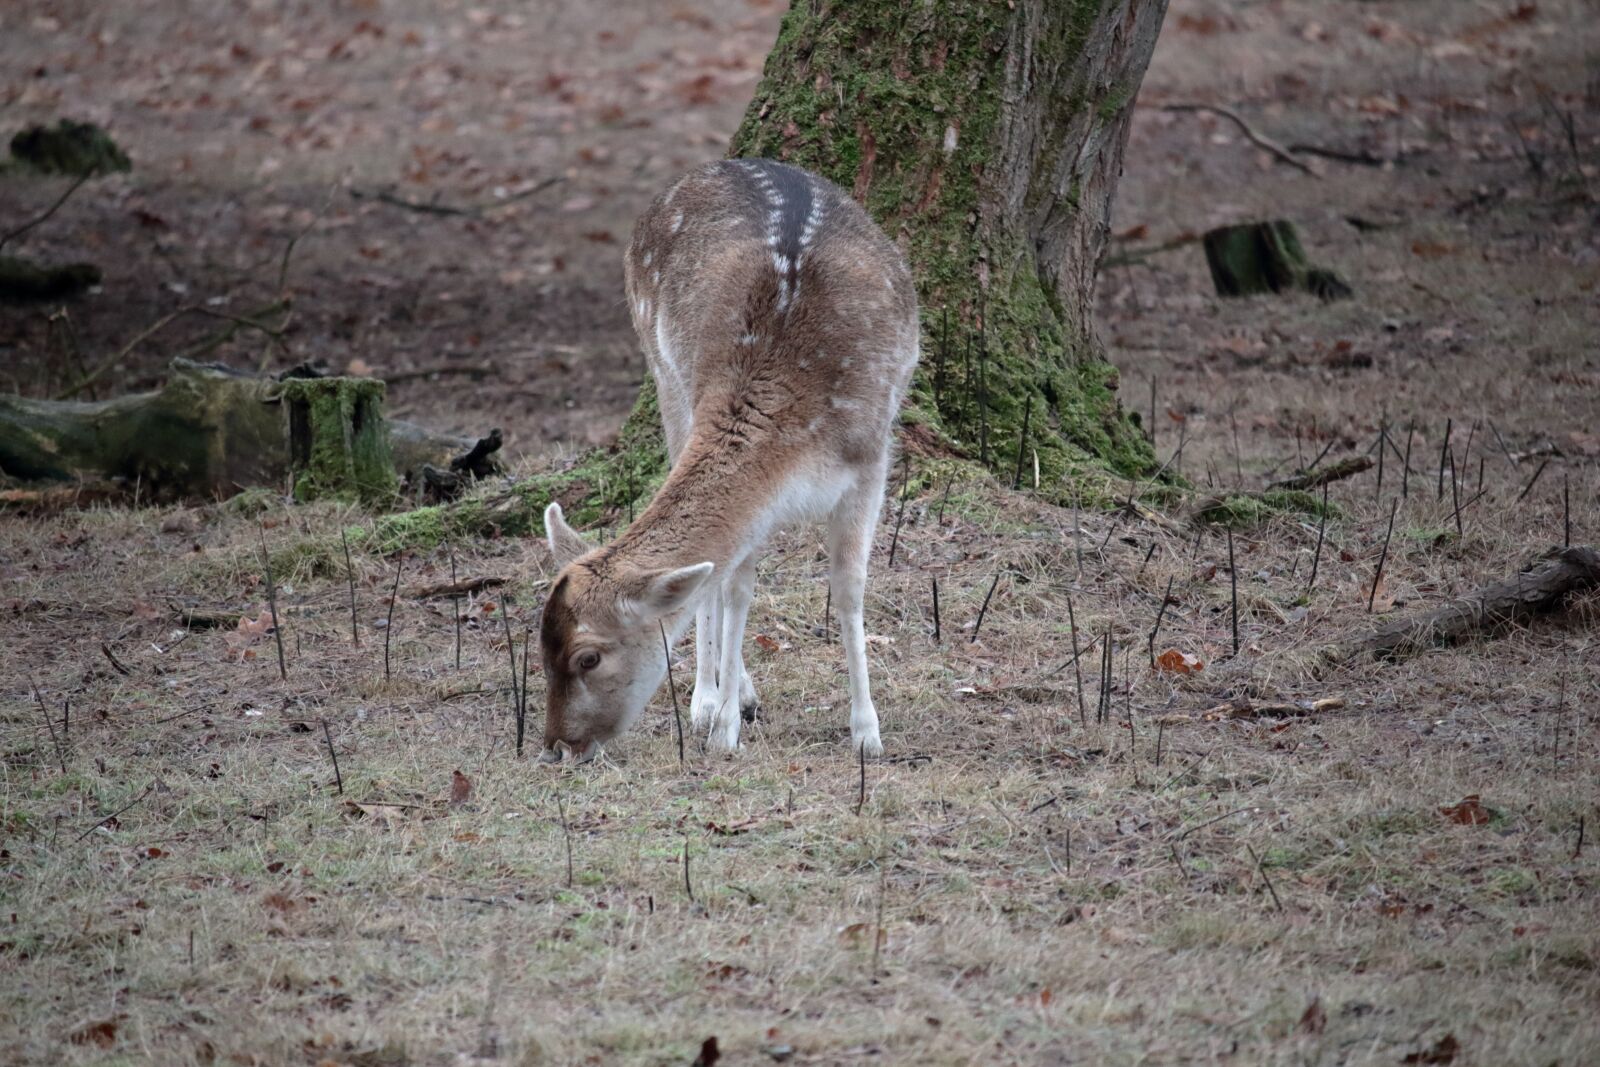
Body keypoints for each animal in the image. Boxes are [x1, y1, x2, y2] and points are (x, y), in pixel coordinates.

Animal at [537, 158, 919, 763]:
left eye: (588, 656)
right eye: (538, 646)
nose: (556, 744)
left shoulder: (871, 459)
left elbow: (849, 586)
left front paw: (867, 733)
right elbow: (735, 586)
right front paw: (723, 723)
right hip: (664, 373)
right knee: (713, 577)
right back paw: (711, 697)